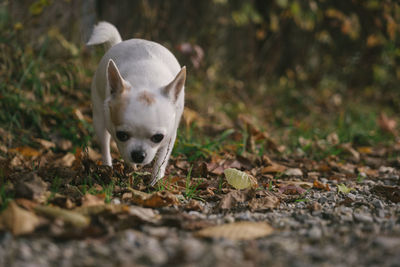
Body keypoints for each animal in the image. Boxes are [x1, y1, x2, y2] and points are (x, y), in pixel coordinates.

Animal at [86, 22, 186, 186]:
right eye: (122, 135)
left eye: (158, 137)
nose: (138, 154)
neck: (146, 81)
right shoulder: (115, 133)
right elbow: (120, 149)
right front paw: (131, 168)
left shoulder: (170, 137)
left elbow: (161, 160)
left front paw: (155, 182)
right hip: (99, 118)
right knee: (104, 144)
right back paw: (107, 167)